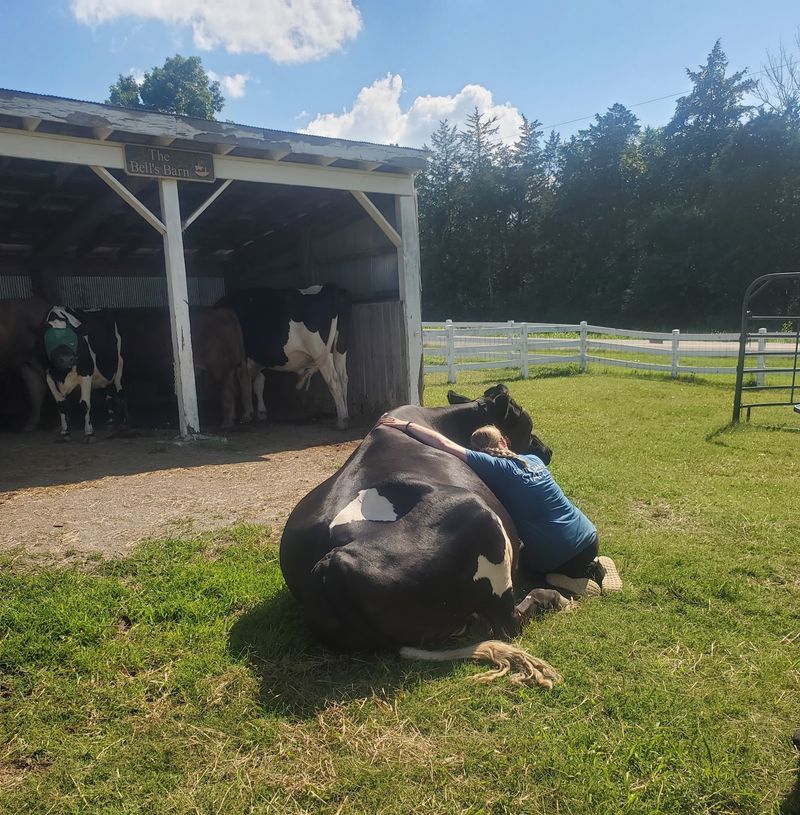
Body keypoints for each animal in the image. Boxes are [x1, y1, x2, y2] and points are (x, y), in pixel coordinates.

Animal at [43, 306, 125, 443]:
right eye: (50, 339)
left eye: (73, 338)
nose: (67, 359)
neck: (62, 373)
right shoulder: (49, 377)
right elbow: (61, 405)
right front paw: (65, 432)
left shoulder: (86, 373)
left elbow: (85, 404)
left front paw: (89, 433)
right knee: (108, 394)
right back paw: (111, 422)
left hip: (119, 367)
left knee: (120, 393)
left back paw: (124, 423)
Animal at [113, 307, 253, 429]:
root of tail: (223, 312)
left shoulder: (121, 373)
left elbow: (120, 395)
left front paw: (124, 419)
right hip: (237, 364)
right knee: (242, 383)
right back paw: (244, 416)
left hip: (219, 367)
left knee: (227, 390)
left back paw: (226, 423)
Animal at [216, 284, 350, 429]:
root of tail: (330, 288)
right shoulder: (258, 360)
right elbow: (258, 383)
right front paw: (261, 412)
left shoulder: (244, 358)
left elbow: (244, 383)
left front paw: (247, 414)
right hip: (340, 348)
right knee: (343, 377)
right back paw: (346, 414)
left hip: (320, 352)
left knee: (334, 381)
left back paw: (341, 420)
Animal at [279, 384, 567, 687]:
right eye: (526, 424)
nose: (547, 450)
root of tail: (327, 565)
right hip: (479, 516)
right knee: (508, 623)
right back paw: (551, 598)